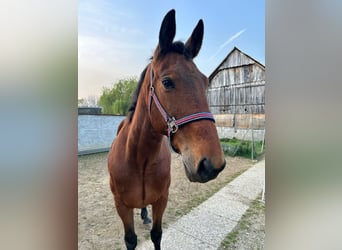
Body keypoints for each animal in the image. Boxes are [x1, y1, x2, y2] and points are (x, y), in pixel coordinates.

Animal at [108, 8, 226, 249]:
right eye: (167, 82)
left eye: (205, 82)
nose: (212, 164)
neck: (138, 158)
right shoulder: (121, 206)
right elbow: (131, 240)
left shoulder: (162, 200)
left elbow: (157, 234)